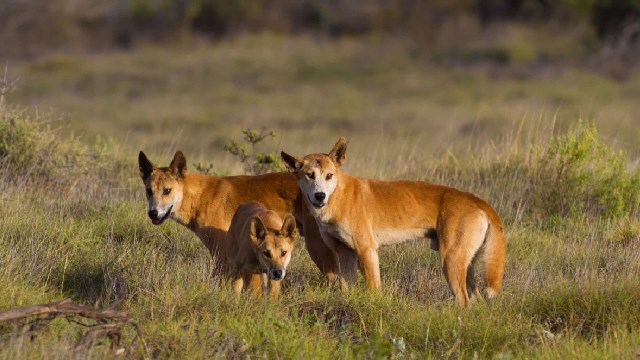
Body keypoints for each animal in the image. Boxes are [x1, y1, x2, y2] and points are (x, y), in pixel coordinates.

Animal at [138, 150, 338, 280]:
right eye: (149, 191)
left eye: (167, 191)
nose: (153, 213)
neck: (201, 197)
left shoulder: (221, 252)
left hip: (315, 246)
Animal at [282, 138, 508, 306]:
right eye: (309, 175)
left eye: (329, 176)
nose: (320, 196)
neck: (338, 197)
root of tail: (476, 199)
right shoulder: (343, 252)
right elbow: (347, 288)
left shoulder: (366, 249)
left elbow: (374, 289)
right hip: (466, 264)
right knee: (475, 301)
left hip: (451, 261)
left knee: (464, 302)